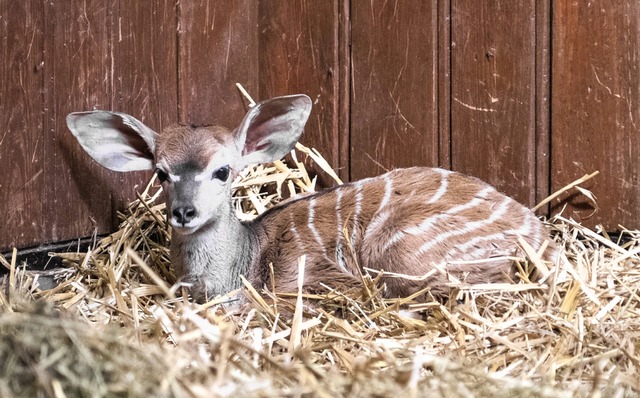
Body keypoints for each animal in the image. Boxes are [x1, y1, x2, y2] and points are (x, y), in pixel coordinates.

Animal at [66, 95, 556, 302]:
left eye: (223, 171)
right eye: (161, 173)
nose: (184, 212)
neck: (244, 263)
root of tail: (544, 243)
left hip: (399, 250)